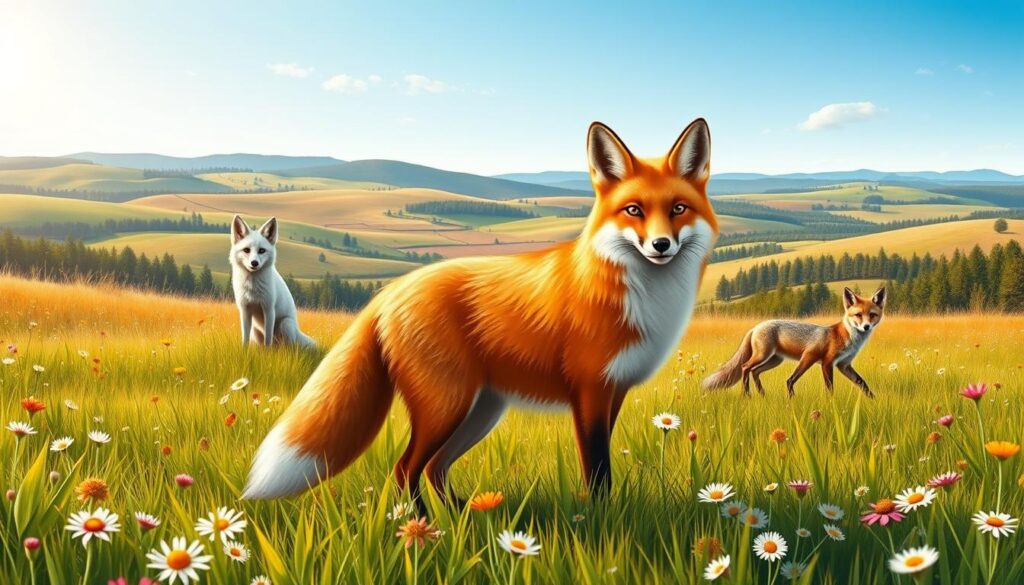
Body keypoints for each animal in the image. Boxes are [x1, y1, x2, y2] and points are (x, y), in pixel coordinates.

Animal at [230, 215, 316, 349]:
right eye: (246, 250)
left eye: (261, 250)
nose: (254, 263)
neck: (253, 287)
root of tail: (297, 330)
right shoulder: (245, 310)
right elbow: (245, 339)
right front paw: (244, 352)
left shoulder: (269, 309)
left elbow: (268, 339)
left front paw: (267, 353)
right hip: (255, 330)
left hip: (286, 324)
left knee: (286, 347)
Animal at [242, 118, 719, 504]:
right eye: (634, 210)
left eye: (678, 209)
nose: (661, 245)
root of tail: (392, 289)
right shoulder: (589, 393)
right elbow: (597, 473)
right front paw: (602, 522)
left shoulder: (612, 393)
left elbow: (601, 467)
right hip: (447, 406)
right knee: (406, 468)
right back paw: (426, 531)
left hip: (479, 412)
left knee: (435, 468)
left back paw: (466, 517)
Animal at [702, 286, 886, 398]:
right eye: (858, 315)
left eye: (872, 315)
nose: (866, 327)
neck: (845, 337)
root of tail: (756, 326)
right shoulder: (822, 360)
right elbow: (825, 386)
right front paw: (830, 404)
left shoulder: (844, 365)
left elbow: (862, 383)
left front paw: (874, 400)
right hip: (764, 356)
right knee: (745, 367)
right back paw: (747, 394)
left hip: (775, 360)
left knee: (755, 371)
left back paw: (762, 394)